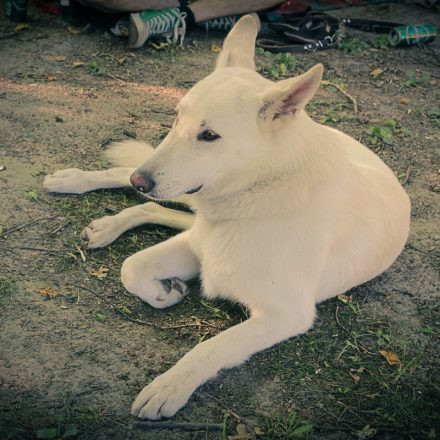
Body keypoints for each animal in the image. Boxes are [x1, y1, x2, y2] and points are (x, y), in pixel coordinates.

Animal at [43, 15, 410, 422]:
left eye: (209, 135)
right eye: (178, 116)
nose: (143, 181)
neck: (258, 192)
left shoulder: (287, 314)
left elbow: (211, 346)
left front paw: (169, 387)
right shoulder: (199, 248)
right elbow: (131, 267)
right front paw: (163, 293)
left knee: (153, 205)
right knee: (138, 188)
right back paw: (77, 185)